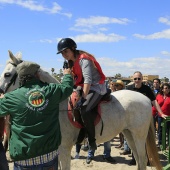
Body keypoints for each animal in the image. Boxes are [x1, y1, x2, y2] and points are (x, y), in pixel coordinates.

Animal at [0, 50, 162, 170]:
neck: (58, 103)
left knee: (142, 159)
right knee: (139, 160)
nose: (0, 93)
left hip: (139, 135)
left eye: (7, 74)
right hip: (129, 133)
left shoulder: (64, 149)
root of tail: (146, 98)